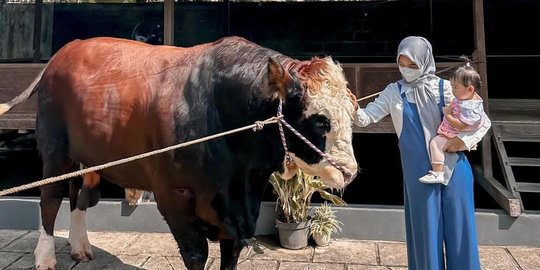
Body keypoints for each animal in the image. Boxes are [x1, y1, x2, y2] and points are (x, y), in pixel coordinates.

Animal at [0, 36, 358, 270]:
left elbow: (230, 254)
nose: (349, 171)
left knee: (79, 195)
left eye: (351, 113)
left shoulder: (240, 210)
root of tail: (65, 50)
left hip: (85, 157)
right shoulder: (173, 195)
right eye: (320, 119)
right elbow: (196, 254)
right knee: (50, 199)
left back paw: (80, 248)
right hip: (54, 150)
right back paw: (46, 258)